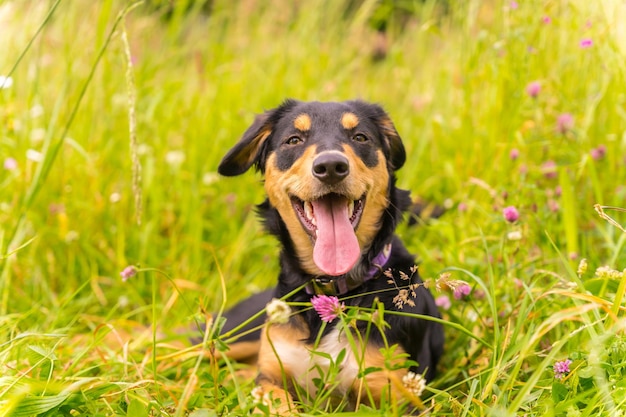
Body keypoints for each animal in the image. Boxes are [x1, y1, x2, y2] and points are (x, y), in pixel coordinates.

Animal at [217, 99, 442, 412]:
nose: (331, 167)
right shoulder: (269, 378)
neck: (333, 291)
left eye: (360, 137)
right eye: (293, 140)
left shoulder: (400, 396)